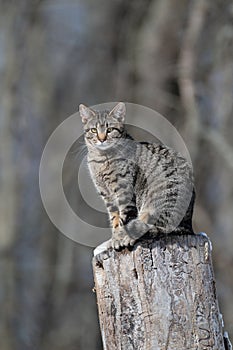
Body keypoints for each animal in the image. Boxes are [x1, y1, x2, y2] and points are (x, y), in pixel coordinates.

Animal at [79, 102, 194, 250]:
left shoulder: (124, 191)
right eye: (93, 130)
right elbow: (115, 219)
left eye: (110, 129)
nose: (101, 138)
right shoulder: (107, 195)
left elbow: (124, 218)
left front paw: (120, 238)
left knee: (156, 227)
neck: (101, 159)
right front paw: (115, 238)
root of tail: (188, 225)